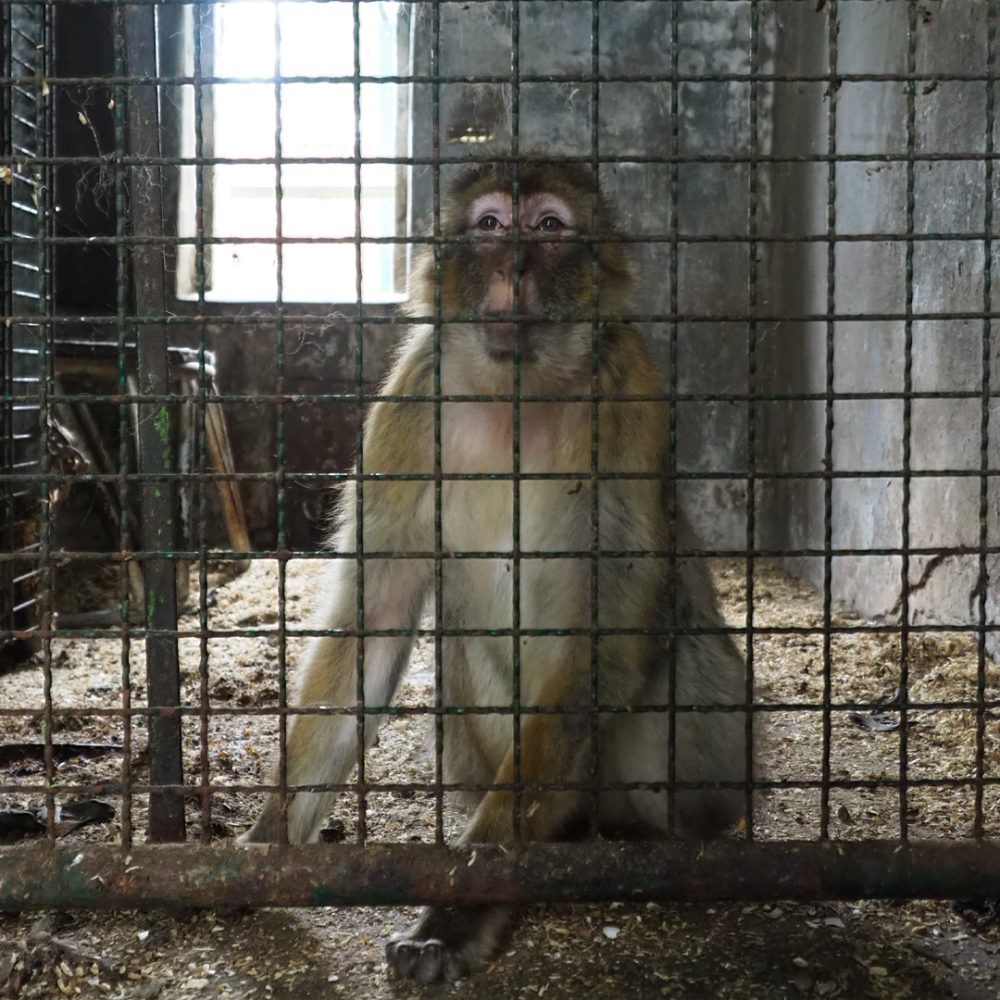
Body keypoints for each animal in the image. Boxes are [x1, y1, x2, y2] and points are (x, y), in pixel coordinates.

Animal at [244, 159, 748, 983]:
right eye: (489, 225)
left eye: (546, 227)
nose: (513, 264)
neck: (518, 395)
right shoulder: (410, 402)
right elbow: (375, 621)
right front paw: (263, 847)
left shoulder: (628, 395)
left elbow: (607, 630)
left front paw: (458, 910)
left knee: (676, 653)